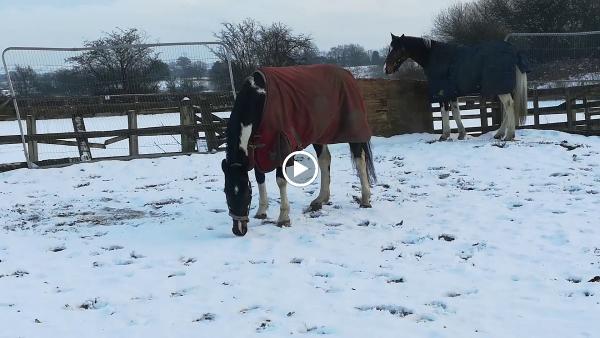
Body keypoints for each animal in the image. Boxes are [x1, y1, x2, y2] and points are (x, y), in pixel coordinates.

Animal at [220, 72, 376, 235]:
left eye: (246, 194)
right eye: (226, 192)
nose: (238, 230)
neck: (260, 98)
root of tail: (348, 75)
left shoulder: (284, 148)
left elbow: (281, 181)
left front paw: (283, 218)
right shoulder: (258, 151)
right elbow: (259, 178)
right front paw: (261, 211)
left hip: (353, 131)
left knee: (359, 160)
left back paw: (365, 199)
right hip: (319, 134)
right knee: (325, 159)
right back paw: (320, 199)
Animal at [382, 33, 528, 141]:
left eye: (397, 49)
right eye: (390, 48)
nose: (386, 69)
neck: (434, 56)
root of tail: (512, 50)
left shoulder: (442, 92)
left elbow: (444, 112)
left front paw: (444, 135)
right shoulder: (452, 93)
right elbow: (456, 111)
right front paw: (461, 134)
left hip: (501, 88)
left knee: (509, 105)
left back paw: (509, 135)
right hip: (503, 88)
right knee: (509, 107)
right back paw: (499, 134)